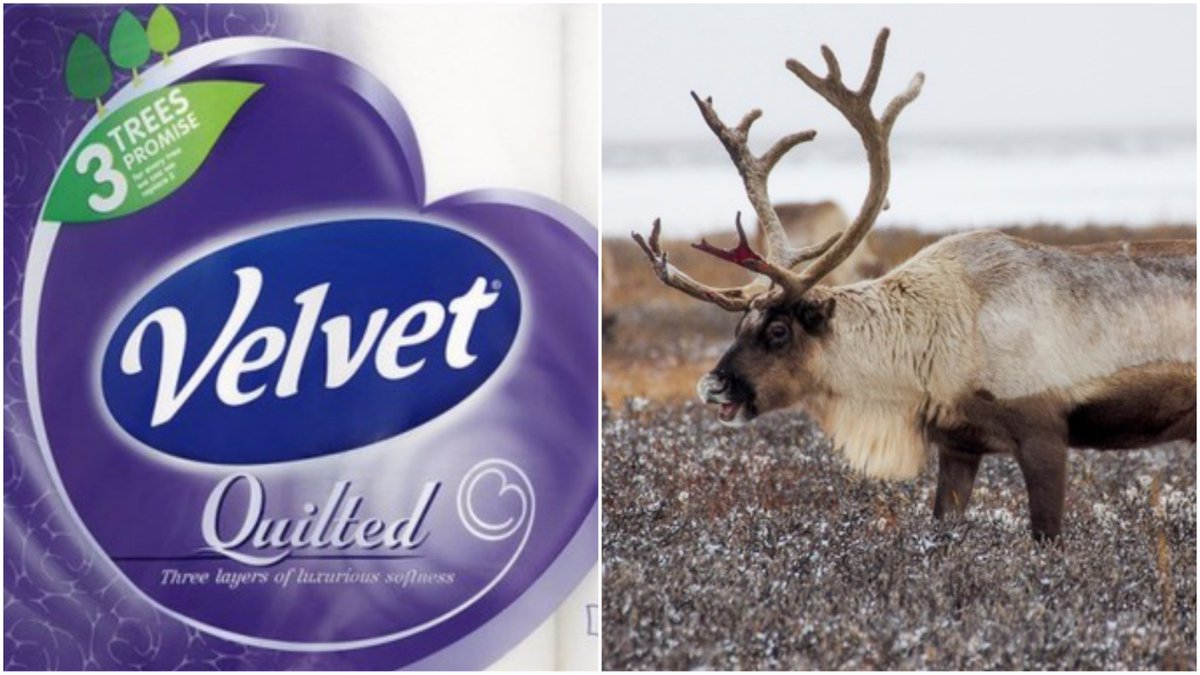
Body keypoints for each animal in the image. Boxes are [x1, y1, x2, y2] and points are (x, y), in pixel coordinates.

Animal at [631, 28, 1196, 541]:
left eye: (778, 331)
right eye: (738, 326)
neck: (937, 334)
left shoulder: (1044, 432)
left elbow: (1047, 536)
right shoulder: (959, 444)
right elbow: (943, 522)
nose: (712, 384)